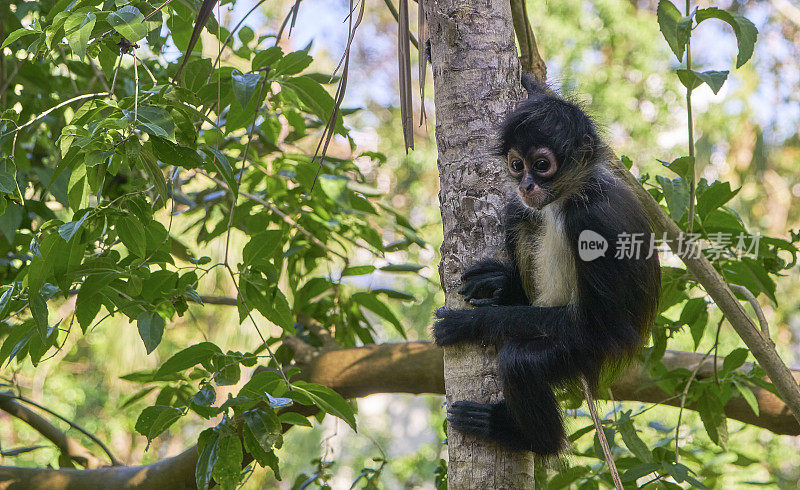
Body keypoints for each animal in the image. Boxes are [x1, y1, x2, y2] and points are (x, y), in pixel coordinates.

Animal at [434, 73, 660, 456]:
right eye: (516, 165)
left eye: (541, 165)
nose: (526, 184)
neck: (576, 194)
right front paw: (497, 283)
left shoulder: (590, 221)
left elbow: (601, 325)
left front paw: (474, 322)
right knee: (519, 213)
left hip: (585, 352)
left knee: (520, 362)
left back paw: (527, 438)